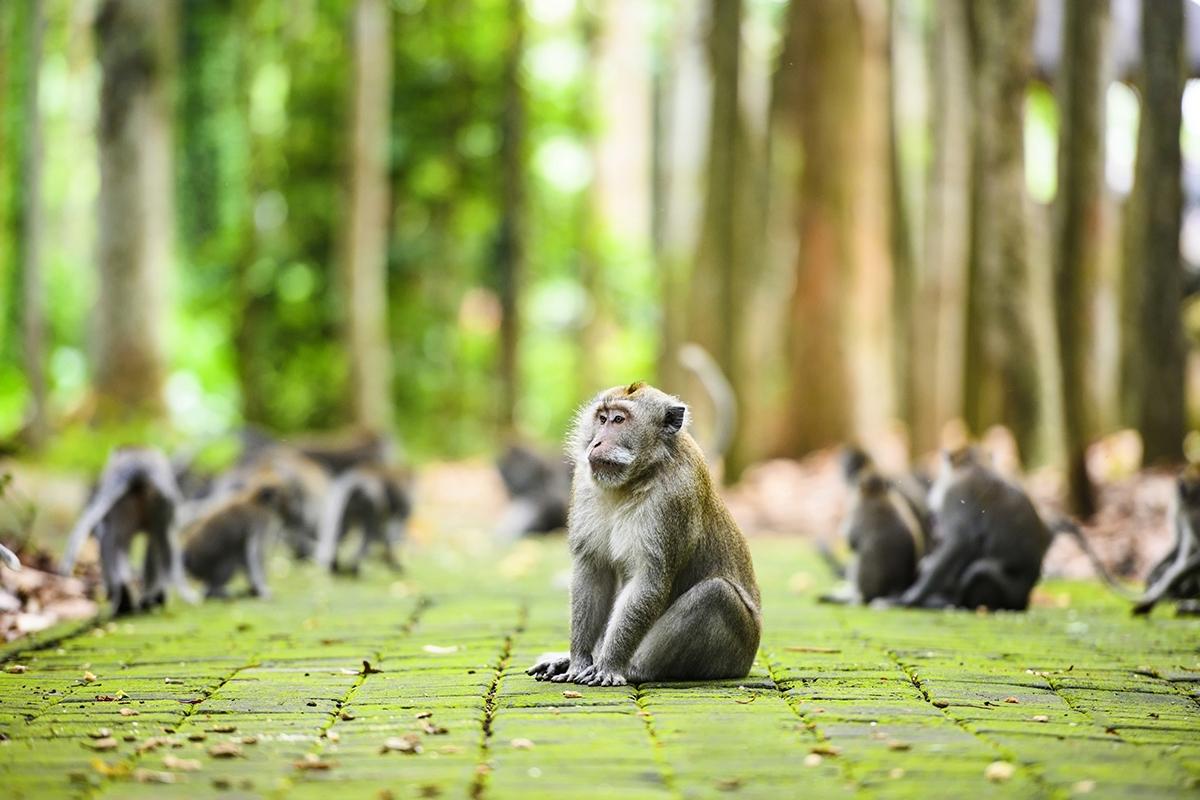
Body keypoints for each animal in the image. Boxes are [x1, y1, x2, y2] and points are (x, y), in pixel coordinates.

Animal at [61, 450, 187, 614]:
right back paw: (145, 598)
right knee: (149, 541)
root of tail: (138, 467)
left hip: (137, 505)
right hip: (154, 503)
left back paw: (129, 601)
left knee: (115, 543)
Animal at [525, 383, 758, 686]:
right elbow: (592, 570)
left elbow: (649, 580)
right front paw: (577, 662)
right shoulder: (584, 482)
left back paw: (633, 669)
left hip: (735, 651)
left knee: (716, 593)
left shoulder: (673, 497)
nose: (596, 443)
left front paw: (608, 666)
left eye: (619, 420)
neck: (636, 477)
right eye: (602, 419)